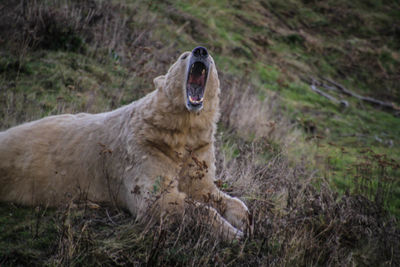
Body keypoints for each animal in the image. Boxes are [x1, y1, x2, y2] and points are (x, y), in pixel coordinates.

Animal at [0, 46, 250, 241]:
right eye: (183, 56)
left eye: (212, 59)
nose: (201, 51)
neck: (178, 133)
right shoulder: (145, 149)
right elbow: (158, 200)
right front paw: (233, 233)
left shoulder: (197, 151)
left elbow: (205, 189)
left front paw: (244, 219)